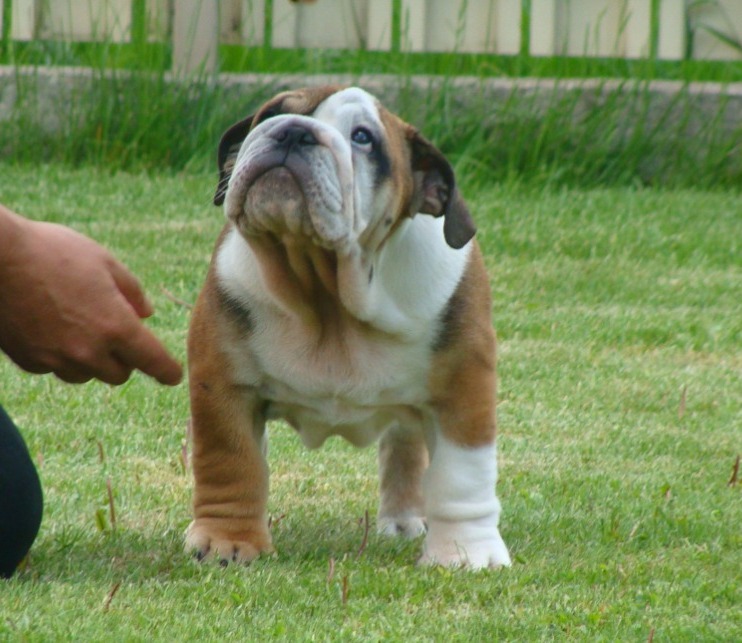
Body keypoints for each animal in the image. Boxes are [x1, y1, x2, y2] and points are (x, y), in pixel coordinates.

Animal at [186, 86, 511, 569]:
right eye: (272, 112)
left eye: (362, 138)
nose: (293, 131)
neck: (327, 295)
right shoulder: (222, 381)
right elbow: (230, 460)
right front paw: (228, 542)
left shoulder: (464, 385)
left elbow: (463, 476)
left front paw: (465, 553)